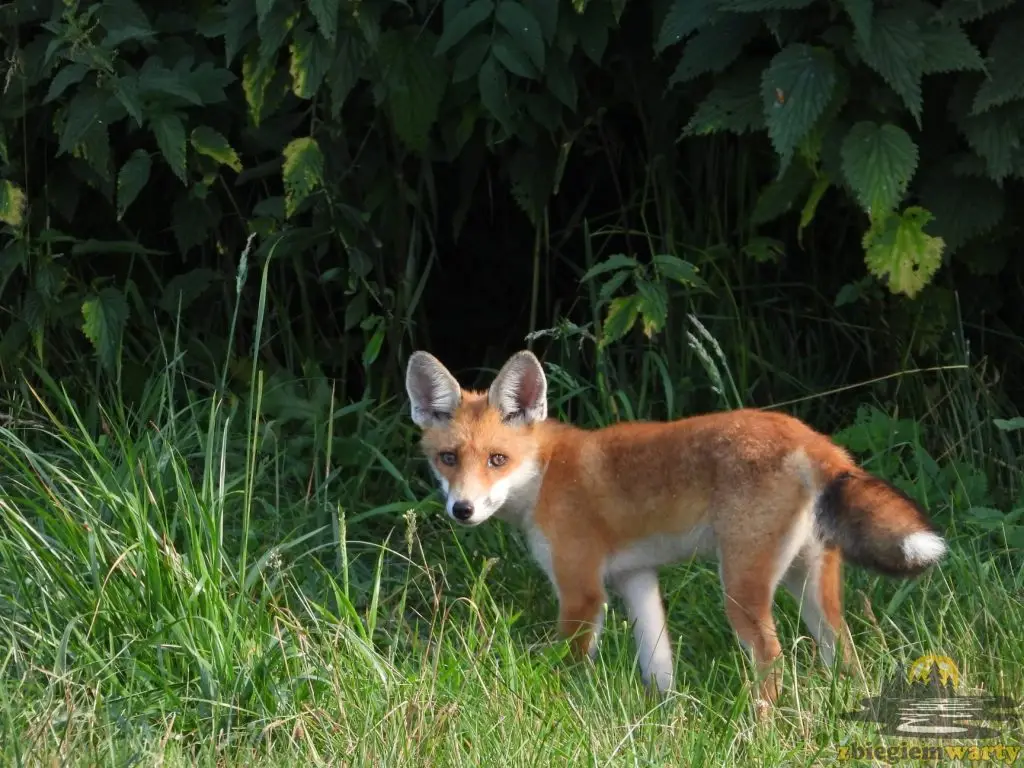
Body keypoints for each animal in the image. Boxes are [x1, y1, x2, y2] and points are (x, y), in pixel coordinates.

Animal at [403, 348, 946, 716]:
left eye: (497, 459)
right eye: (448, 458)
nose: (462, 509)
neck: (546, 473)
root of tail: (812, 438)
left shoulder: (582, 593)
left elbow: (566, 669)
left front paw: (558, 709)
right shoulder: (636, 579)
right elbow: (659, 668)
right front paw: (666, 722)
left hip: (742, 590)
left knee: (772, 658)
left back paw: (761, 727)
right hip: (810, 585)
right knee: (848, 652)